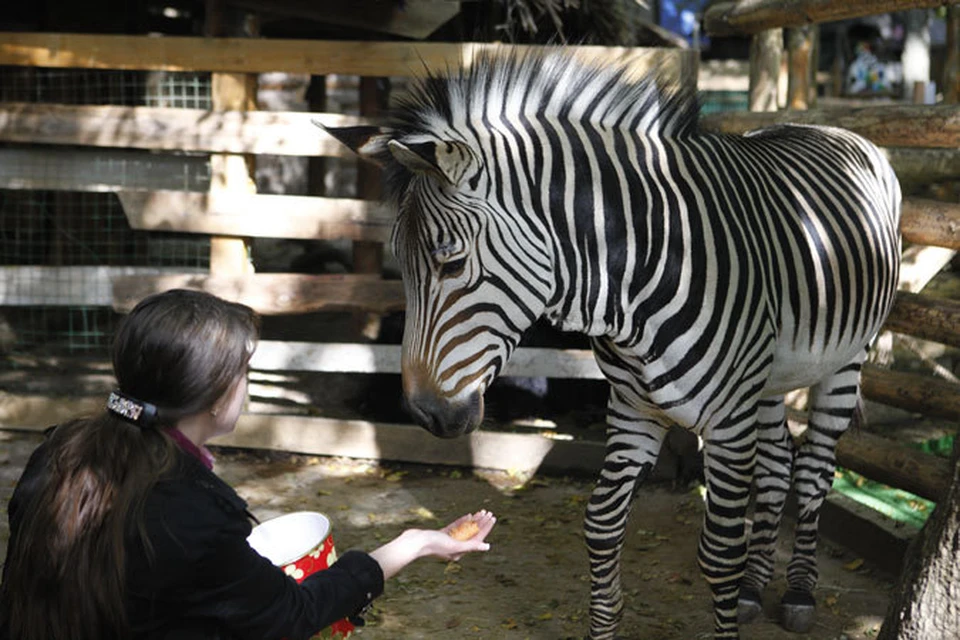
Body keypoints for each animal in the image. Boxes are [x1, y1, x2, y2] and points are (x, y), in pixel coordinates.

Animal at [322, 51, 900, 640]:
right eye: (399, 262)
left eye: (451, 263)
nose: (425, 415)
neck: (633, 282)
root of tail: (831, 127)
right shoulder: (631, 409)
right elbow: (601, 524)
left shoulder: (728, 421)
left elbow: (719, 552)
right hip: (772, 375)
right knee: (780, 463)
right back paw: (755, 588)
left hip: (844, 361)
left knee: (814, 469)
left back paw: (799, 591)